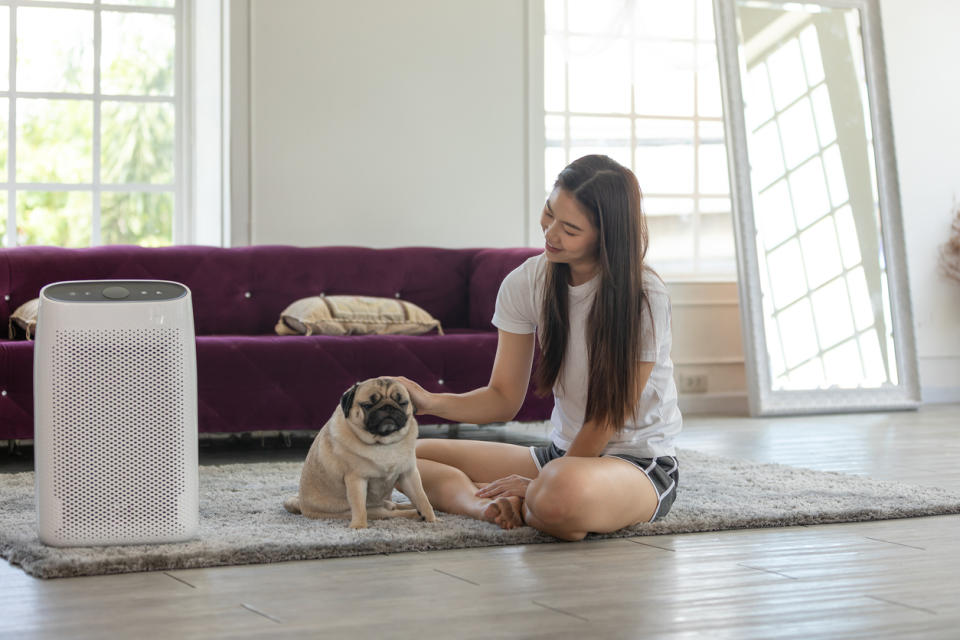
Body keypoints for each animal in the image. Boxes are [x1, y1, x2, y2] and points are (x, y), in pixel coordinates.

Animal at [284, 376, 436, 528]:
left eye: (402, 403)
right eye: (367, 405)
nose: (388, 407)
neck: (383, 444)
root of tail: (302, 507)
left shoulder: (408, 474)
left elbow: (422, 498)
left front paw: (432, 519)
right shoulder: (356, 479)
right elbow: (359, 506)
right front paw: (359, 526)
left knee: (396, 505)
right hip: (373, 510)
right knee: (390, 512)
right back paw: (413, 513)